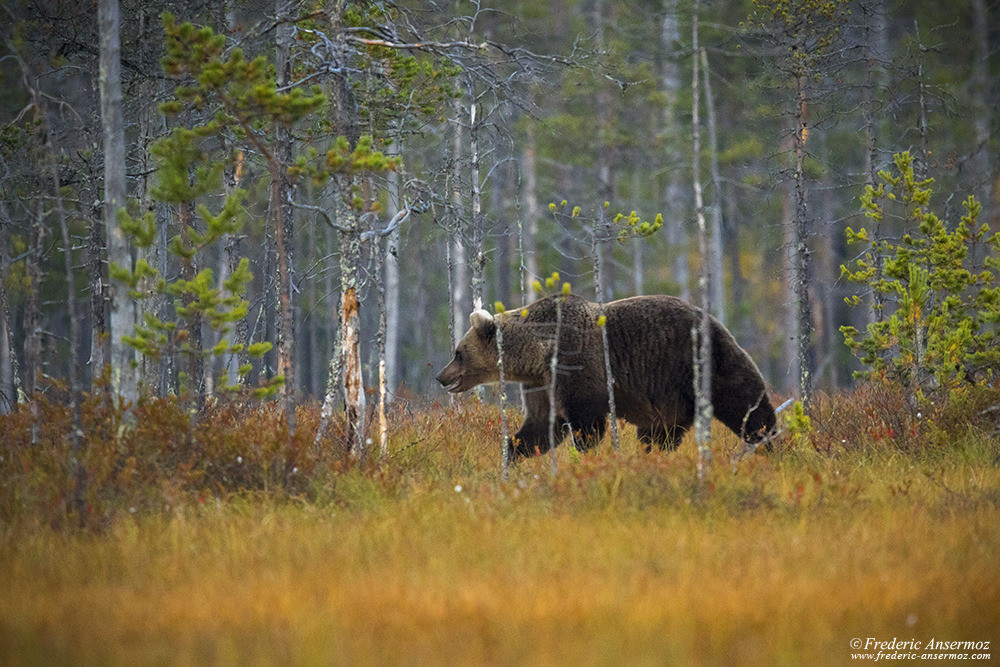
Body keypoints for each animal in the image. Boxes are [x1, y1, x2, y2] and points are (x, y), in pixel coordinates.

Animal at [434, 294, 776, 460]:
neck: (539, 354)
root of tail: (716, 321)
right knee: (660, 434)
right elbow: (542, 426)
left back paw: (771, 445)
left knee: (746, 405)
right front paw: (511, 454)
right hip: (670, 398)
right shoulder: (542, 384)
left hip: (705, 363)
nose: (440, 376)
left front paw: (583, 456)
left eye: (458, 352)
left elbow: (587, 424)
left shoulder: (577, 364)